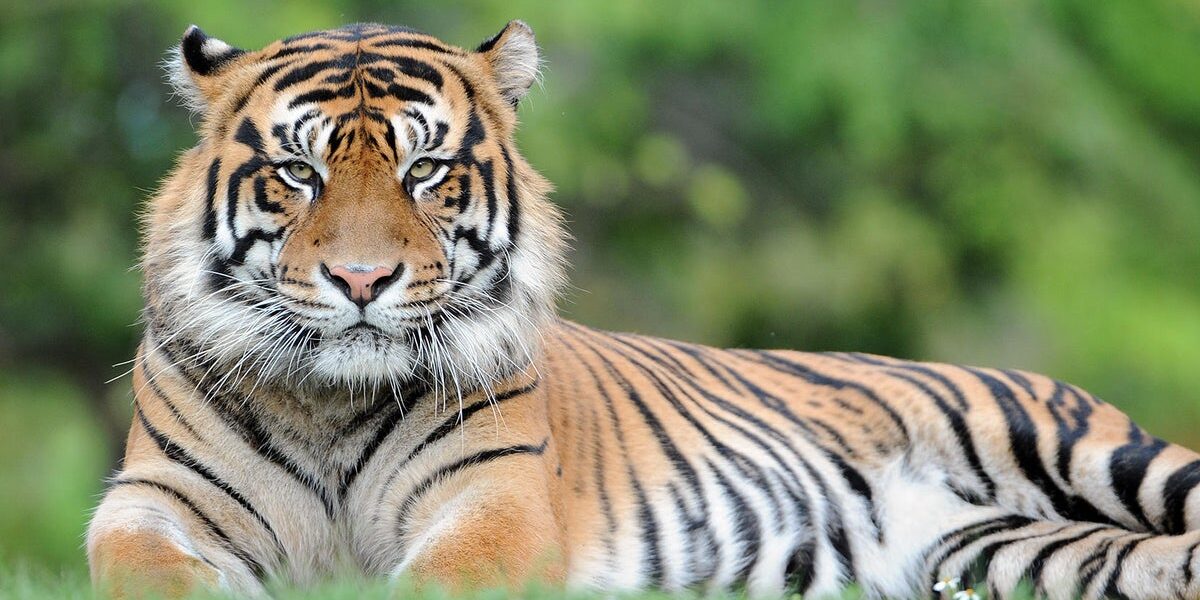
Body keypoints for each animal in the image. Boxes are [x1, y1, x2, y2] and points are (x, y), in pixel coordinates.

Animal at [86, 20, 1200, 600]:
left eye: (426, 171)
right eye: (298, 173)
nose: (363, 283)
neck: (330, 401)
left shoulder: (495, 503)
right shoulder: (153, 497)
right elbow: (144, 569)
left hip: (1098, 453)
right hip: (998, 558)